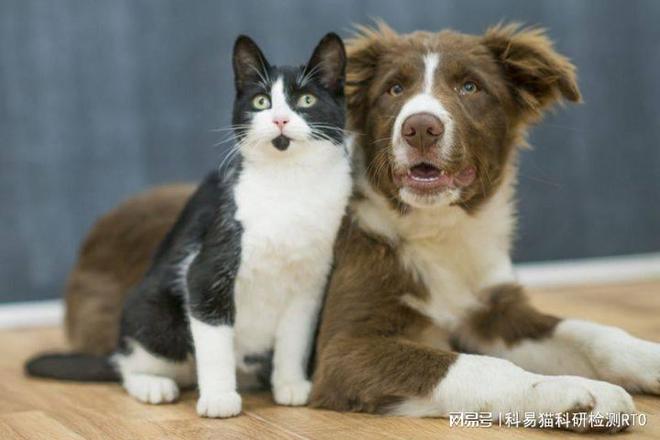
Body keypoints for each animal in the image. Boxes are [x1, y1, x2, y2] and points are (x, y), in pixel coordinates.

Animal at [27, 32, 354, 418]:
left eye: (306, 100)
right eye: (261, 101)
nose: (279, 120)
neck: (289, 184)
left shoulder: (309, 283)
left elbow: (294, 338)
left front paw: (289, 384)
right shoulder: (207, 269)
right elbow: (213, 343)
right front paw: (218, 398)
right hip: (156, 315)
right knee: (129, 364)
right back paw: (153, 384)